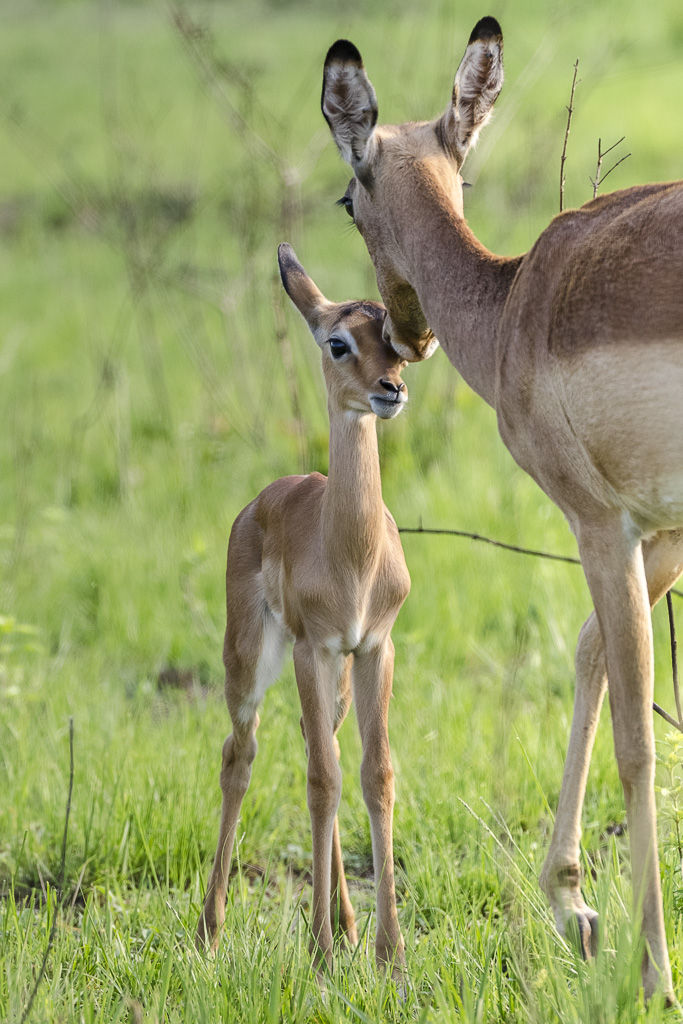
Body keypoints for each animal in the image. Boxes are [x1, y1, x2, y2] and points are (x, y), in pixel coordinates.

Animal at [196, 244, 410, 978]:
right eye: (338, 341)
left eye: (394, 340)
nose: (390, 389)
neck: (351, 554)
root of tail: (259, 501)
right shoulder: (312, 647)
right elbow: (321, 780)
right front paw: (318, 951)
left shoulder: (372, 647)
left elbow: (372, 775)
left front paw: (386, 953)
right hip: (251, 660)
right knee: (240, 755)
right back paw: (209, 930)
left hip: (335, 677)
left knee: (324, 748)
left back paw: (345, 924)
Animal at [320, 16, 683, 1004]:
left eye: (346, 198)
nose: (405, 340)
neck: (517, 300)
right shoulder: (660, 530)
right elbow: (589, 654)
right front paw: (571, 904)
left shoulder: (601, 524)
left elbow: (636, 737)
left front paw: (652, 973)